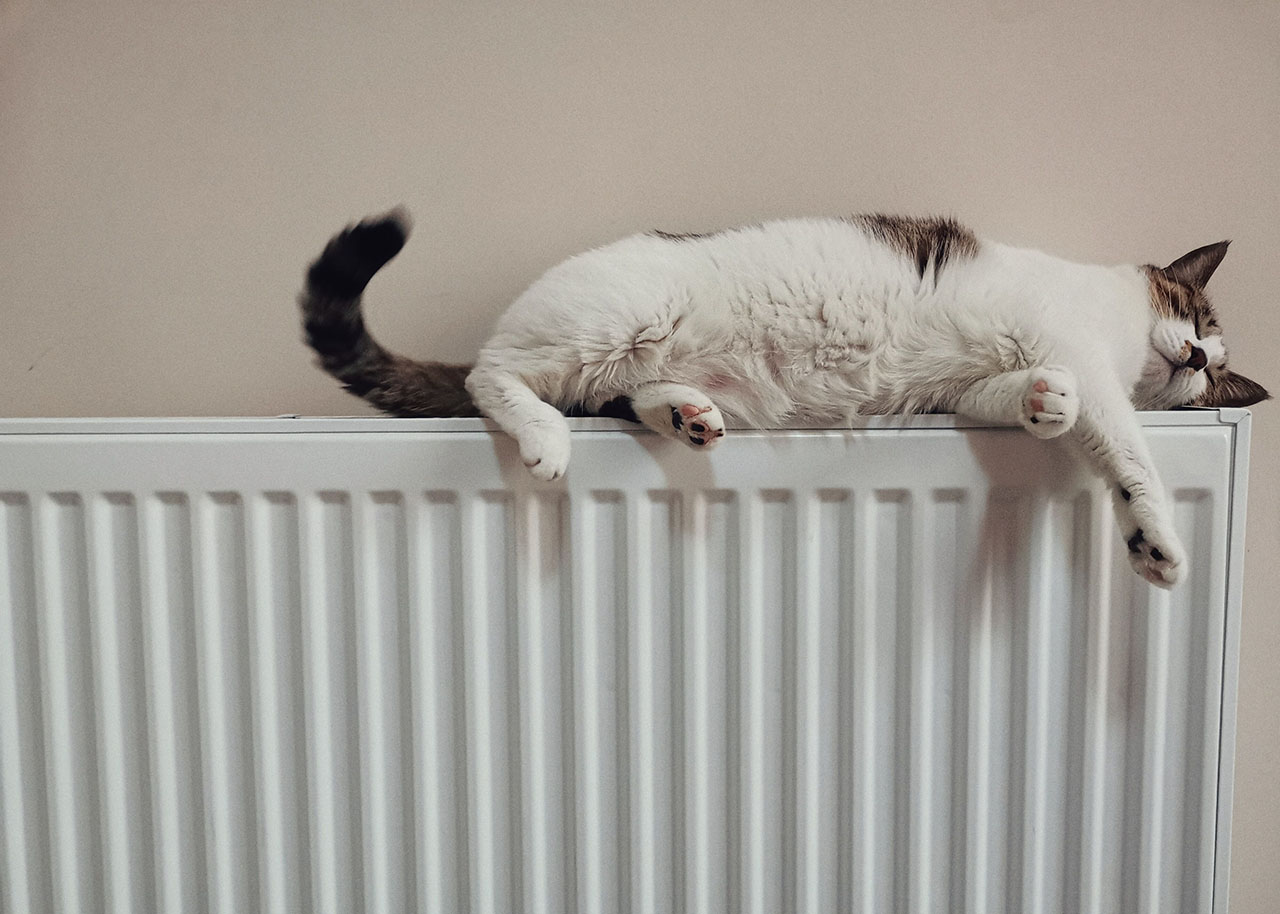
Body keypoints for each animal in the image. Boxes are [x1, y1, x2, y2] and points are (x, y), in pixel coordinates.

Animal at [302, 207, 1269, 586]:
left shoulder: (973, 388)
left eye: (1213, 377)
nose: (1194, 354)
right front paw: (1155, 540)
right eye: (1193, 317)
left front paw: (1044, 406)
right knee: (490, 376)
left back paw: (685, 413)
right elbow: (1127, 451)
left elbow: (1033, 398)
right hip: (614, 319)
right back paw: (544, 437)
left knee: (621, 396)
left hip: (624, 362)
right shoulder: (1088, 359)